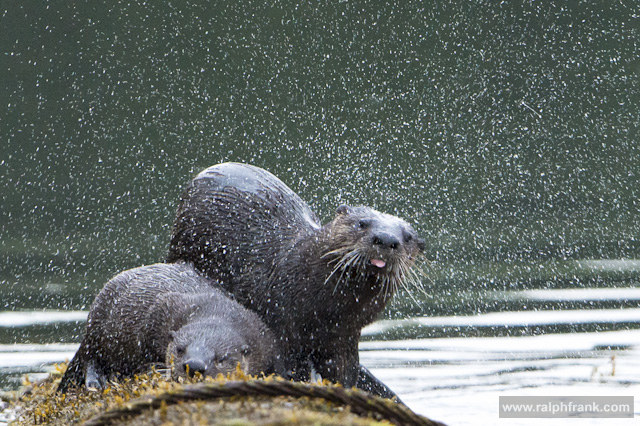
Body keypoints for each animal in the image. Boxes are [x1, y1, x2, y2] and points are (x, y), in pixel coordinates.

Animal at [57, 262, 281, 393]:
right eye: (180, 349)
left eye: (222, 358)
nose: (194, 366)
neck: (217, 311)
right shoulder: (158, 313)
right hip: (98, 324)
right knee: (89, 356)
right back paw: (96, 382)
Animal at [167, 163, 425, 399]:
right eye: (361, 223)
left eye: (408, 237)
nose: (387, 238)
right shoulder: (282, 324)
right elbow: (290, 369)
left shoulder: (343, 338)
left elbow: (344, 373)